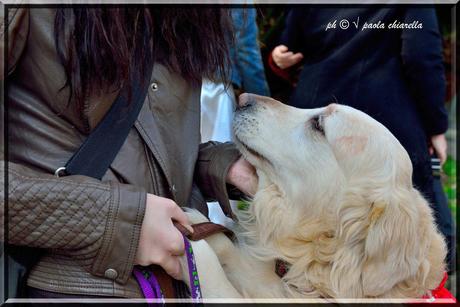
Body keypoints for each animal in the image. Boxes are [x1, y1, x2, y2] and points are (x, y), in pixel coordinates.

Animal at [179, 92, 446, 300]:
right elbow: (227, 250)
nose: (243, 98)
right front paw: (196, 224)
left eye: (318, 125)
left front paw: (182, 238)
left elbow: (210, 270)